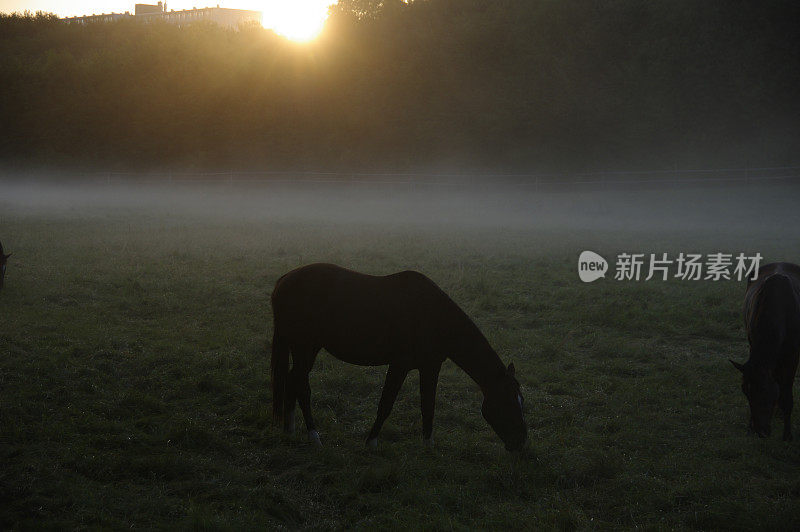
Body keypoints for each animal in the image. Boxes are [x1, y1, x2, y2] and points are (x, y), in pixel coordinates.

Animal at [272, 264, 528, 450]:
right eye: (507, 402)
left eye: (521, 401)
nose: (521, 443)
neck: (433, 316)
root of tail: (284, 279)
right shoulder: (400, 364)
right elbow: (386, 403)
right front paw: (371, 442)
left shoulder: (430, 367)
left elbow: (428, 405)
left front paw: (428, 446)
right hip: (305, 347)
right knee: (301, 385)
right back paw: (314, 436)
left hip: (303, 348)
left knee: (292, 379)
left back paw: (289, 429)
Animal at [732, 262, 800, 440]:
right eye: (746, 391)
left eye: (764, 390)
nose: (760, 431)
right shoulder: (753, 342)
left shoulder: (792, 355)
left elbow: (786, 394)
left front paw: (787, 435)